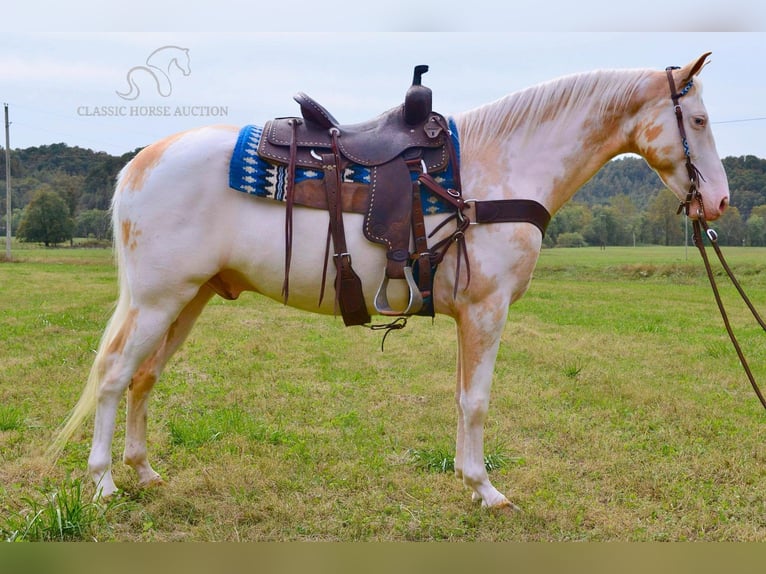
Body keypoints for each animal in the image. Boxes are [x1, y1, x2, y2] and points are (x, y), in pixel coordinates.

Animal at [49, 54, 732, 512]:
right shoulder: (487, 312)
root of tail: (143, 160)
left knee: (143, 377)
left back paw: (143, 472)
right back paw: (104, 480)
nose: (720, 202)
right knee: (113, 374)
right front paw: (487, 490)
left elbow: (460, 397)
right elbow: (476, 401)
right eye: (697, 119)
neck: (499, 169)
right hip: (156, 300)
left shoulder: (471, 317)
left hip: (187, 300)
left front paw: (468, 479)